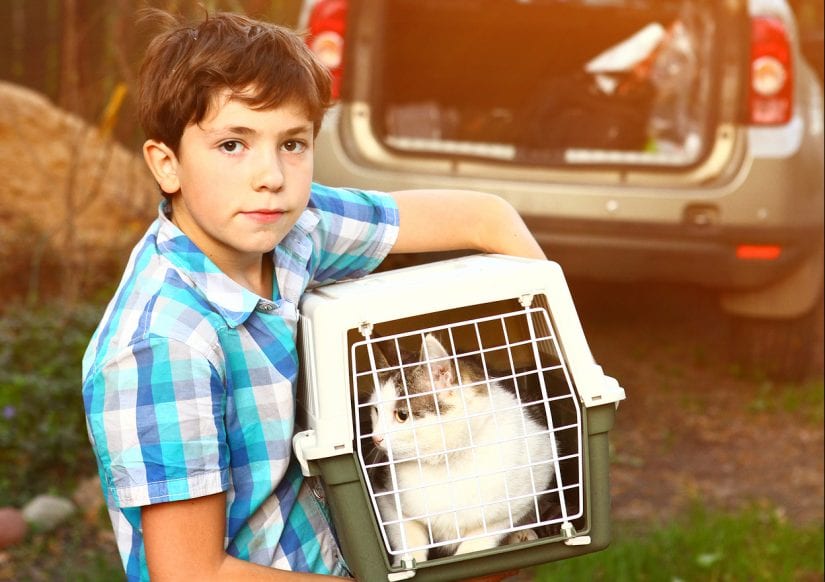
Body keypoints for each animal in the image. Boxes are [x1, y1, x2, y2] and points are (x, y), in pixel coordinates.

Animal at [364, 336, 556, 568]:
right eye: (376, 410)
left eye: (402, 415)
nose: (375, 438)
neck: (446, 460)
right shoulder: (385, 493)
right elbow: (407, 539)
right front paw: (408, 564)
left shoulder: (534, 475)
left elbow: (483, 536)